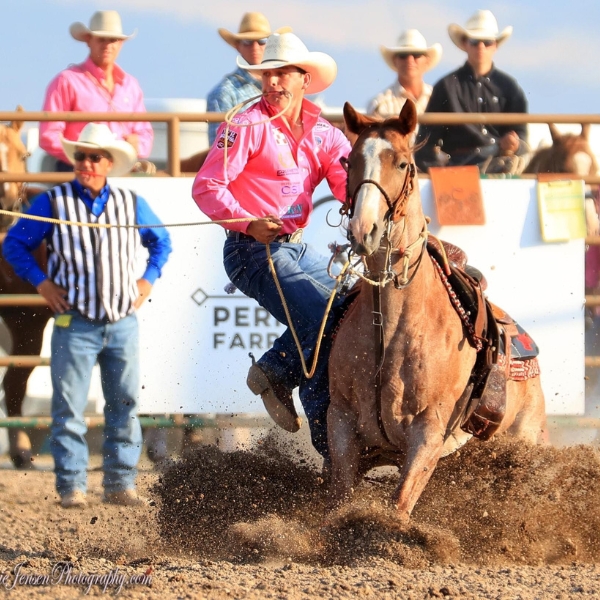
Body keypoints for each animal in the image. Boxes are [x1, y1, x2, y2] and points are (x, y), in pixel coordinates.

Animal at [328, 101, 548, 524]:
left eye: (401, 163)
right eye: (350, 161)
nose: (364, 229)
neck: (391, 327)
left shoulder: (428, 431)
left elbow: (399, 506)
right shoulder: (342, 422)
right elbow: (341, 498)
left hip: (527, 441)